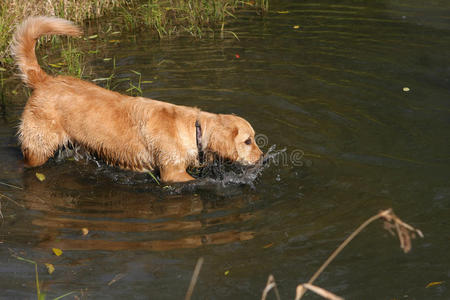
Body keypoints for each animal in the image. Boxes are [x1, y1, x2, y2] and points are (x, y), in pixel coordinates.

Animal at [11, 17, 264, 183]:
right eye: (247, 141)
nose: (262, 158)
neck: (193, 129)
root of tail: (43, 79)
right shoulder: (172, 173)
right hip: (38, 147)